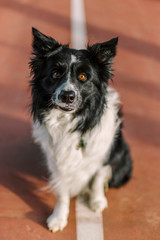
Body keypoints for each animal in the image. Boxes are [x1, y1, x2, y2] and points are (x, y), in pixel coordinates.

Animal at [29, 28, 132, 232]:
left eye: (83, 77)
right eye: (55, 74)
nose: (67, 96)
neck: (70, 121)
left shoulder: (104, 154)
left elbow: (98, 177)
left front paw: (97, 201)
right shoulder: (57, 160)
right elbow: (62, 191)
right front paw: (58, 218)